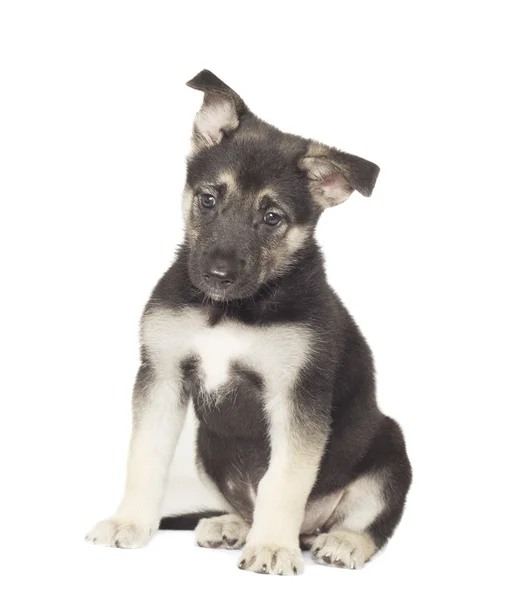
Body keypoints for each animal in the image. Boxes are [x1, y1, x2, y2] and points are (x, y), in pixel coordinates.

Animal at [85, 68, 410, 576]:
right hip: (208, 447)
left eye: (272, 218)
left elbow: (284, 479)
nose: (218, 275)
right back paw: (233, 526)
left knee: (369, 522)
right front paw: (129, 522)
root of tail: (310, 530)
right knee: (246, 505)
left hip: (391, 450)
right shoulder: (162, 375)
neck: (229, 311)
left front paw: (273, 547)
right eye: (208, 198)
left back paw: (337, 542)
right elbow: (144, 456)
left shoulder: (295, 397)